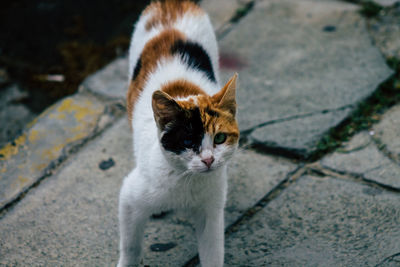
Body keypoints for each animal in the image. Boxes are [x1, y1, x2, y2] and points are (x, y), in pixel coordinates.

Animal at [117, 1, 239, 266]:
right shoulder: (130, 197)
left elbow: (212, 253)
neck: (187, 178)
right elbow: (130, 246)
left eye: (220, 138)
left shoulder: (211, 211)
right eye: (187, 141)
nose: (208, 160)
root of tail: (171, 4)